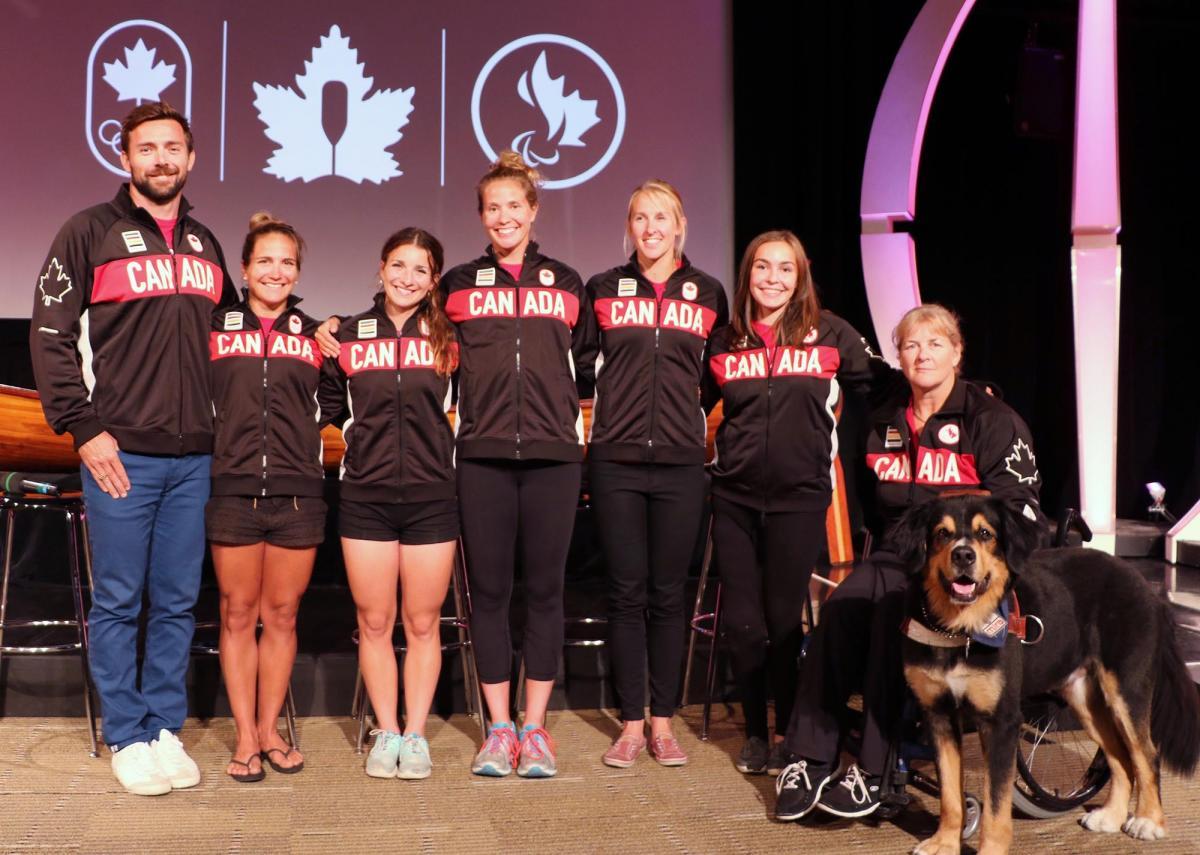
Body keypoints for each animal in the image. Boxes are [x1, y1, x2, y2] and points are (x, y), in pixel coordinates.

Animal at [897, 494, 1195, 855]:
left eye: (985, 534)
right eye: (942, 533)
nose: (963, 555)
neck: (959, 631)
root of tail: (1149, 589)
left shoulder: (1001, 721)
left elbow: (995, 803)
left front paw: (989, 849)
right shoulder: (938, 715)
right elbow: (950, 795)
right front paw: (943, 842)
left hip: (1127, 689)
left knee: (1146, 755)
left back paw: (1149, 821)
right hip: (1085, 698)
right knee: (1120, 758)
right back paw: (1110, 817)